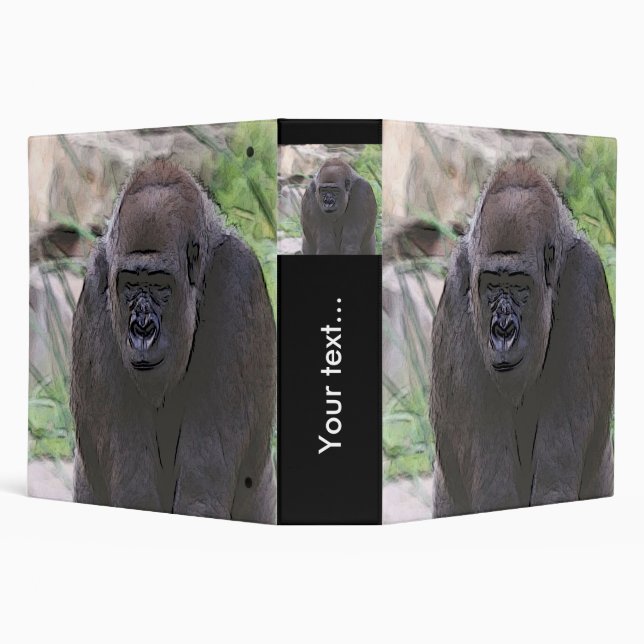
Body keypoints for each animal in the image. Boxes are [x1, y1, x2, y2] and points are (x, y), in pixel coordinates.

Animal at [70, 160, 276, 523]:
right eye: (130, 283)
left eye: (159, 284)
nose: (141, 329)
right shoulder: (97, 286)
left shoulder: (238, 280)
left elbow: (200, 498)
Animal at [430, 161, 614, 518]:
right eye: (491, 284)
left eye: (518, 285)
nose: (502, 330)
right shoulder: (460, 285)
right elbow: (495, 495)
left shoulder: (586, 280)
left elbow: (553, 487)